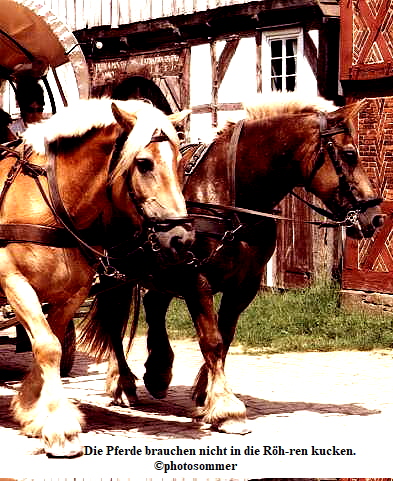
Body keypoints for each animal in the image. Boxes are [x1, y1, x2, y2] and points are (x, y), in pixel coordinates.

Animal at [0, 95, 193, 456]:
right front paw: (60, 428)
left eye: (178, 162)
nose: (181, 238)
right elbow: (47, 346)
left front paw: (30, 410)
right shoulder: (14, 282)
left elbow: (51, 342)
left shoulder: (69, 294)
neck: (52, 200)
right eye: (144, 163)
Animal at [81, 91, 384, 436]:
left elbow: (224, 338)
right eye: (349, 154)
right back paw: (123, 383)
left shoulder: (244, 284)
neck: (231, 194)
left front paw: (206, 394)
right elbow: (211, 340)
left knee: (152, 305)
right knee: (114, 318)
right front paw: (226, 408)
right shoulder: (196, 278)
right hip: (115, 272)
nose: (376, 217)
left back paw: (157, 372)